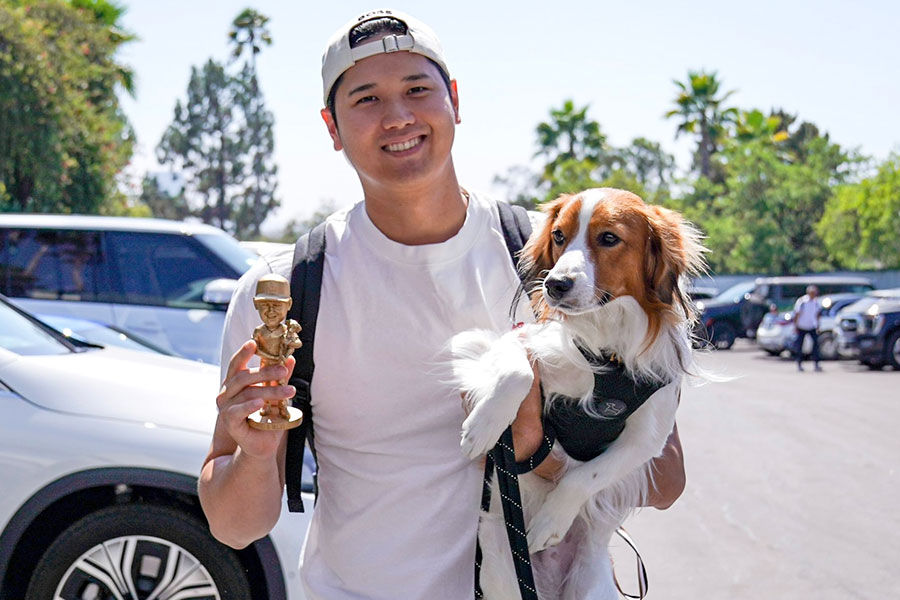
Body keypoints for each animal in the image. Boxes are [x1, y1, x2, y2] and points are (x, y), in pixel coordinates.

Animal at [448, 189, 704, 600]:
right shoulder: (515, 339)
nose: (554, 285)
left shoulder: (647, 437)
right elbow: (517, 369)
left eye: (609, 238)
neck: (608, 342)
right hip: (500, 570)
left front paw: (551, 521)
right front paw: (482, 427)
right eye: (557, 236)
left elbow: (587, 476)